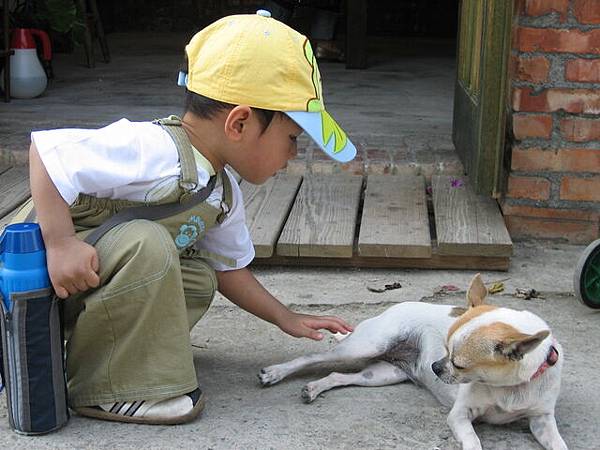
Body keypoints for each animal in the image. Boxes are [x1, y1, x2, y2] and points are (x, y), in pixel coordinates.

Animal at [258, 274, 568, 450]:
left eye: (459, 363)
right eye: (445, 349)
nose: (434, 367)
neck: (508, 388)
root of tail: (393, 307)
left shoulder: (541, 421)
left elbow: (560, 444)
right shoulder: (459, 415)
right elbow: (473, 441)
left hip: (382, 374)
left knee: (338, 376)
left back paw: (313, 388)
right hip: (366, 346)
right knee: (313, 357)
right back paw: (275, 373)